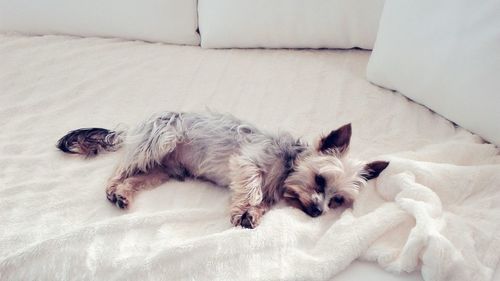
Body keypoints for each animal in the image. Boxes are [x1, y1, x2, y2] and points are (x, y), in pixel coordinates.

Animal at [56, 111, 388, 228]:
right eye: (320, 179)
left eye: (337, 200)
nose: (319, 212)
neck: (286, 167)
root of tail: (134, 128)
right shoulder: (246, 162)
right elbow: (252, 187)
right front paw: (243, 209)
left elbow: (263, 203)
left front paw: (253, 214)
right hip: (162, 137)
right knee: (119, 169)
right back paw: (113, 188)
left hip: (161, 171)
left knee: (136, 179)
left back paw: (123, 194)